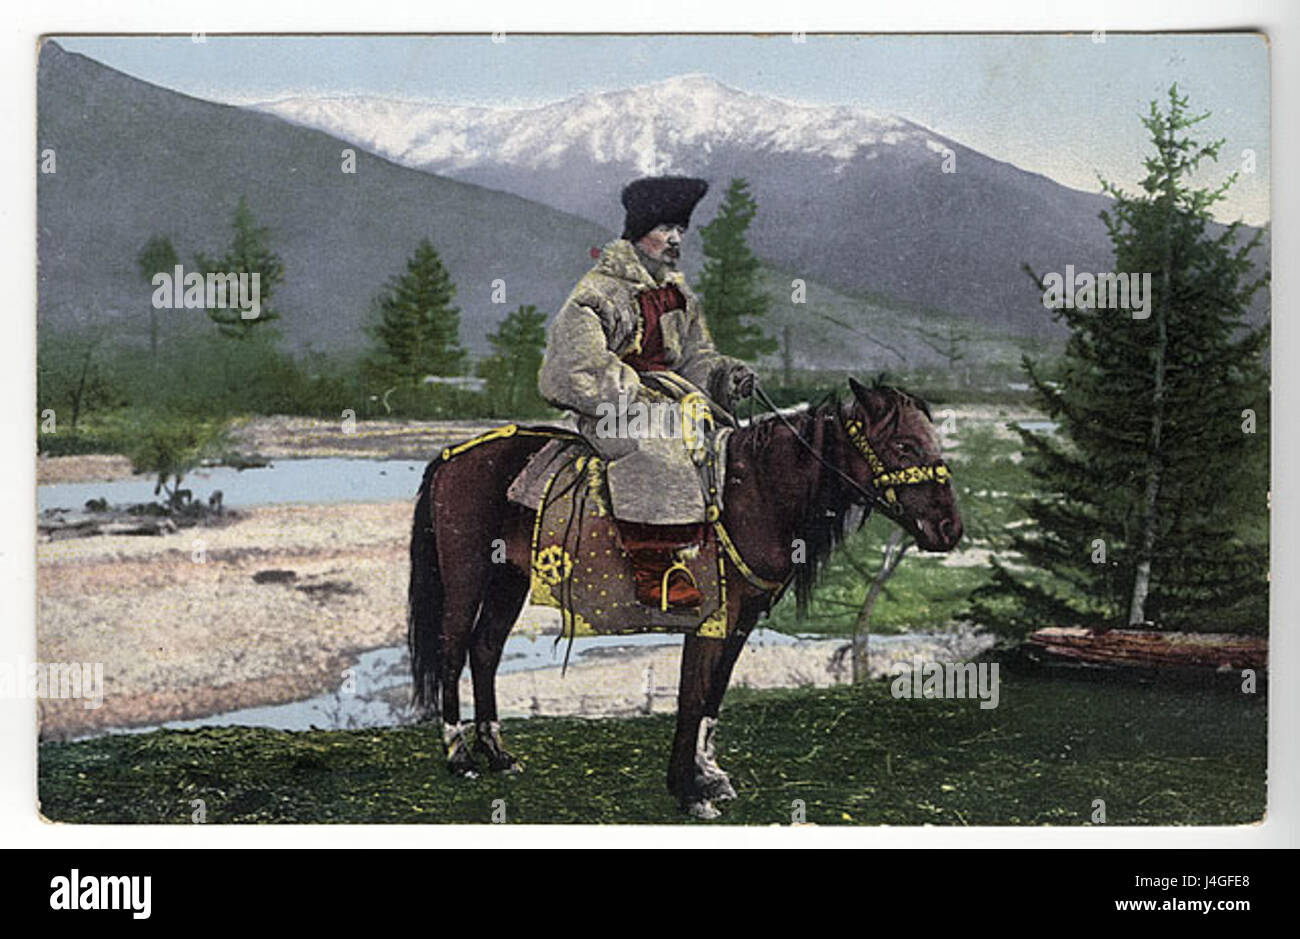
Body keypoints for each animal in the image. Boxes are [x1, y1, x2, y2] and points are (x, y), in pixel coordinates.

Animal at [407, 376, 962, 818]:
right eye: (905, 446)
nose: (949, 528)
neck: (751, 493)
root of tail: (452, 456)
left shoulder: (742, 619)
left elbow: (713, 695)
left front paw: (709, 774)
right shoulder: (710, 619)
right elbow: (692, 696)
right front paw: (687, 790)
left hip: (510, 580)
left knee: (485, 650)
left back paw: (497, 754)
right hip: (466, 576)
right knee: (453, 649)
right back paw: (459, 755)